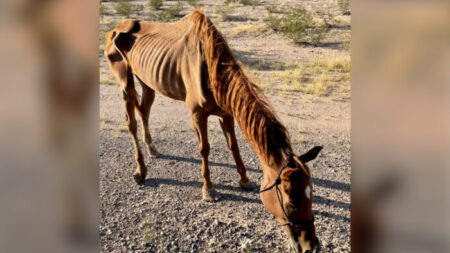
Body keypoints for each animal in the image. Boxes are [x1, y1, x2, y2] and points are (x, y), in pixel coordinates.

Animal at [104, 10, 324, 253]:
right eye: (291, 201)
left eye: (312, 194)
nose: (311, 246)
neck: (210, 68)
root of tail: (115, 29)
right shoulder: (197, 114)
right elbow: (205, 149)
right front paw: (208, 189)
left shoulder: (226, 113)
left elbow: (233, 146)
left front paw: (244, 180)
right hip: (125, 82)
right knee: (131, 122)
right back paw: (140, 170)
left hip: (147, 82)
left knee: (144, 112)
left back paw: (152, 149)